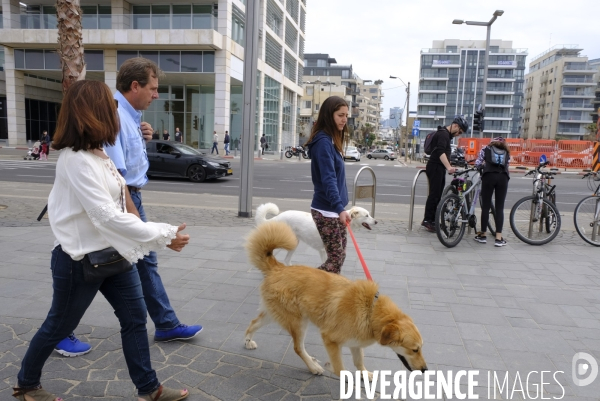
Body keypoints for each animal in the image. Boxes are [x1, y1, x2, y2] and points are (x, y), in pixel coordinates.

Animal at [244, 220, 426, 376]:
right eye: (414, 349)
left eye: (420, 348)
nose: (425, 369)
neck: (370, 309)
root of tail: (278, 268)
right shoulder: (330, 339)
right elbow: (340, 369)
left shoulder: (355, 343)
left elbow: (359, 361)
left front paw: (364, 375)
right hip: (298, 323)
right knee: (298, 348)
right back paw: (313, 367)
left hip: (279, 315)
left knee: (253, 323)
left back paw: (248, 341)